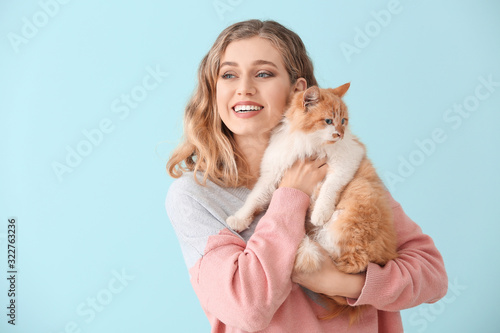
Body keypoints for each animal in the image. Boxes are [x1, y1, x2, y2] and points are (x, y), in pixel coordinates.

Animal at [228, 83, 398, 324]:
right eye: (328, 121)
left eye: (343, 120)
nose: (340, 134)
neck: (306, 142)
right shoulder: (273, 174)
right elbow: (254, 199)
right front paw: (239, 219)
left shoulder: (347, 161)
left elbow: (329, 187)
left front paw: (320, 212)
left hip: (357, 199)